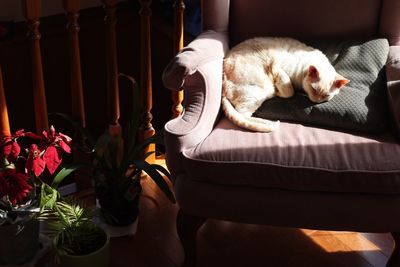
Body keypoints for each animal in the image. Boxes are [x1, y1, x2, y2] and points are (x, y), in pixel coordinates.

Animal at [222, 36, 350, 133]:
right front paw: (281, 91)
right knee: (242, 114)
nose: (315, 101)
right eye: (314, 89)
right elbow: (289, 91)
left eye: (326, 96)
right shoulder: (278, 69)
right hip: (262, 89)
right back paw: (270, 119)